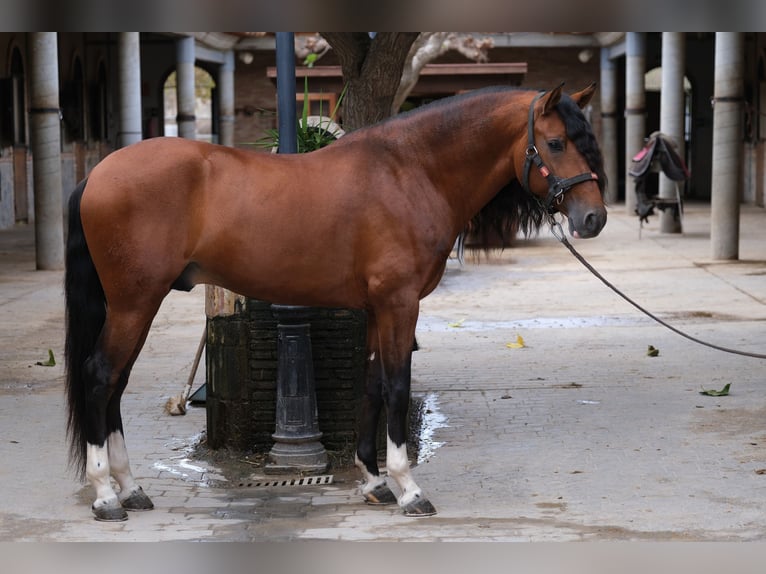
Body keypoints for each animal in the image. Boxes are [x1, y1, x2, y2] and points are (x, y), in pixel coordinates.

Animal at [64, 84, 608, 520]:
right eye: (556, 143)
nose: (594, 217)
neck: (409, 171)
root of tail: (97, 174)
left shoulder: (375, 309)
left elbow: (371, 385)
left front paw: (374, 483)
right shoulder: (400, 304)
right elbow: (396, 387)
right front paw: (409, 489)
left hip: (135, 305)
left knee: (115, 384)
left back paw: (130, 489)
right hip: (135, 302)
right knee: (100, 376)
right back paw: (106, 496)